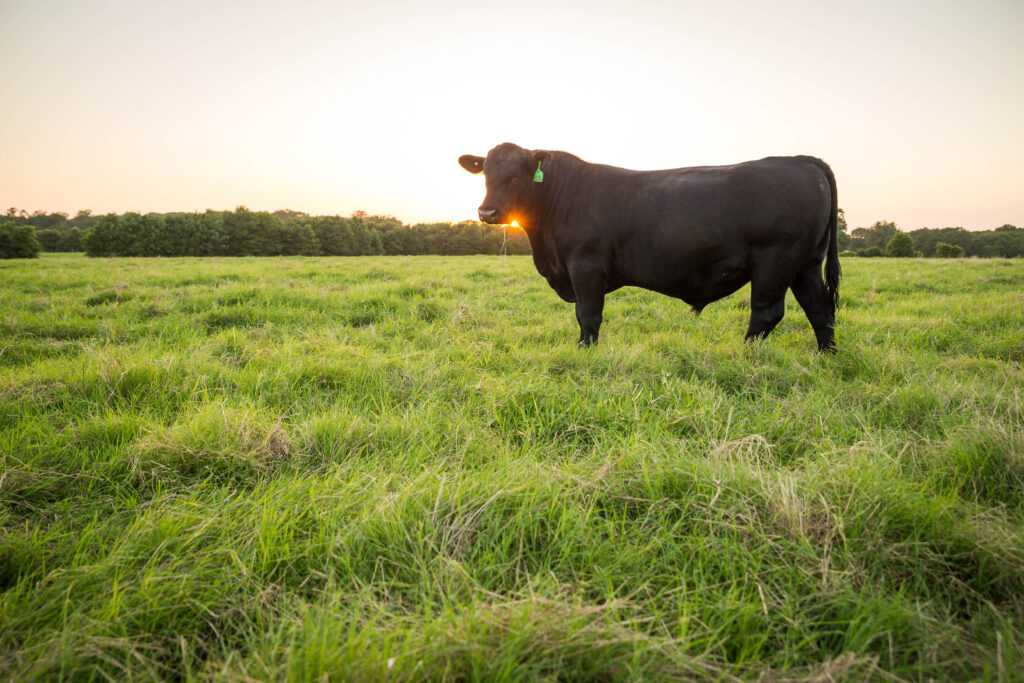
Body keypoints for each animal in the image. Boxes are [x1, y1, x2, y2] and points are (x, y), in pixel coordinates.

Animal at [459, 143, 840, 352]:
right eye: (486, 174)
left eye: (516, 176)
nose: (487, 212)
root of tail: (799, 159)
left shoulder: (585, 266)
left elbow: (588, 314)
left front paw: (585, 351)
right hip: (806, 264)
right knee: (820, 310)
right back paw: (826, 357)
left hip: (774, 262)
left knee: (766, 313)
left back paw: (745, 353)